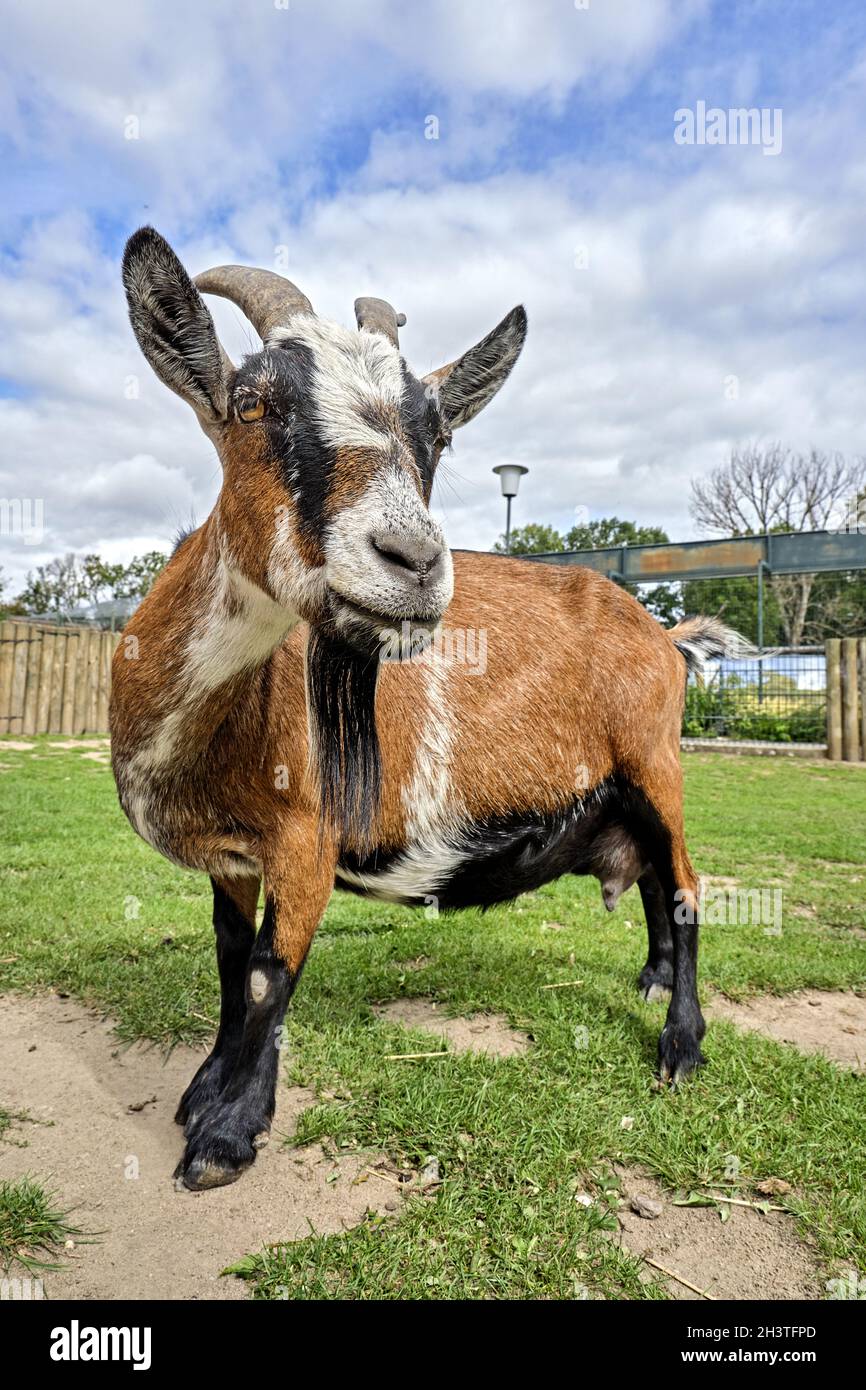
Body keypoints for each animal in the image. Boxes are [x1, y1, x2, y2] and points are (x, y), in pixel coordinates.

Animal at [112, 227, 741, 1191]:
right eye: (251, 402)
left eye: (437, 431)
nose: (410, 559)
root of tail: (663, 637)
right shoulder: (233, 855)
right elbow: (225, 960)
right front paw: (203, 1089)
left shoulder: (306, 835)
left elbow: (266, 975)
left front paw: (224, 1137)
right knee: (652, 882)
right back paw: (652, 982)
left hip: (654, 759)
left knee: (685, 887)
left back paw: (682, 1046)